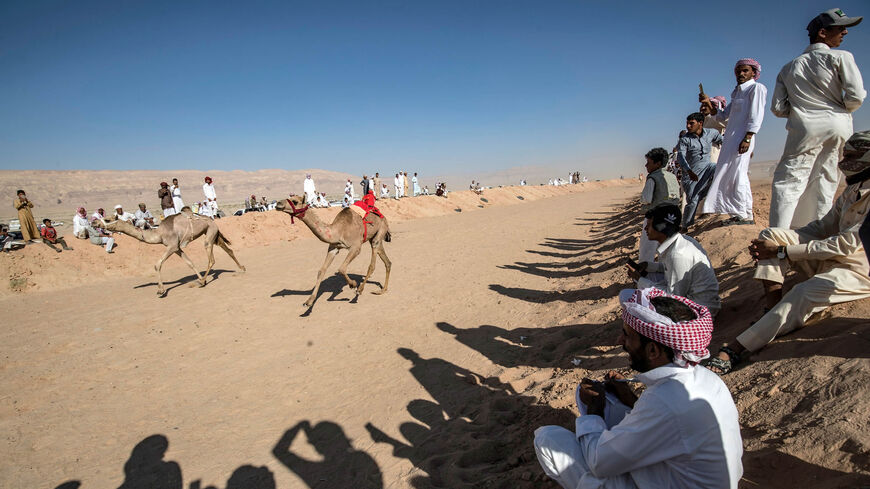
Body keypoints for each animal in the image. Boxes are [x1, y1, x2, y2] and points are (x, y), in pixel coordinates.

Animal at [101, 211, 245, 296]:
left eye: (107, 220)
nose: (96, 223)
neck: (159, 233)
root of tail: (213, 220)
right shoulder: (177, 248)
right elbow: (190, 263)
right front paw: (199, 279)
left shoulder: (172, 246)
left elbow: (157, 264)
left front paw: (161, 290)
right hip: (214, 234)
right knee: (229, 250)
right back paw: (241, 268)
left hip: (210, 234)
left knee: (212, 259)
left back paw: (204, 280)